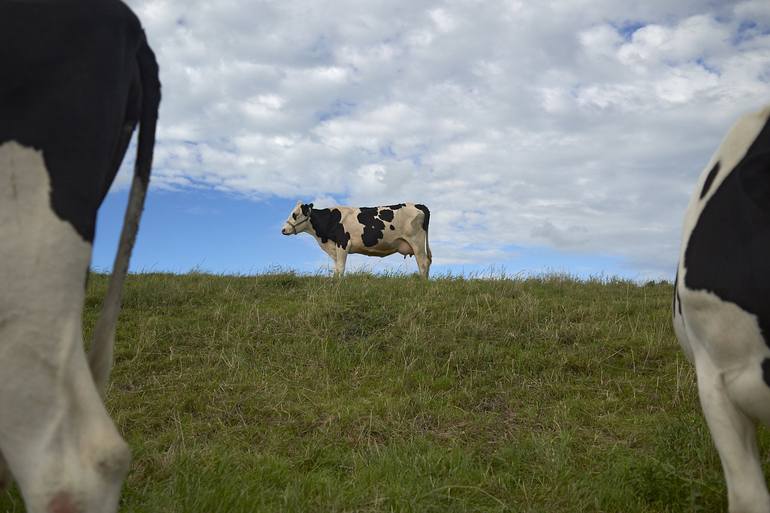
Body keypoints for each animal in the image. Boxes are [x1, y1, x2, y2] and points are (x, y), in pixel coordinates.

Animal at [280, 202, 428, 278]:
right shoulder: (335, 248)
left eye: (295, 214)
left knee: (423, 263)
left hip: (417, 242)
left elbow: (341, 268)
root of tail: (419, 205)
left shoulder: (343, 243)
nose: (283, 230)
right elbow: (336, 269)